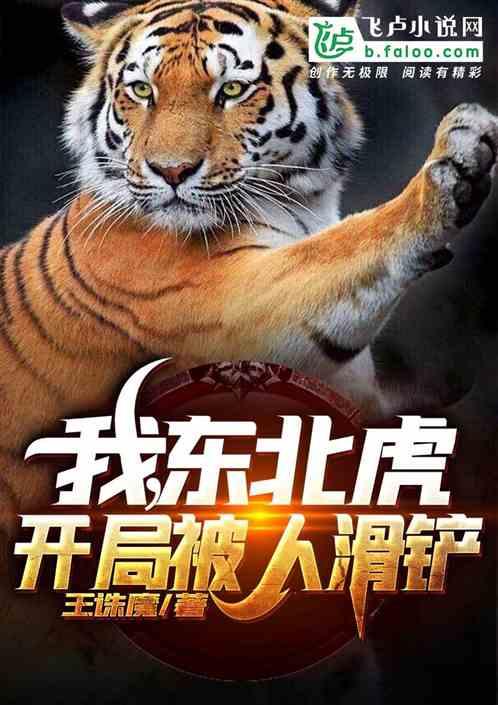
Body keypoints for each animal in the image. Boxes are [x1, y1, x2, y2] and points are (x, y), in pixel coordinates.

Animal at [0, 0, 497, 686]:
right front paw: (457, 158)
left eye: (232, 90)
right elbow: (347, 245)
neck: (302, 206)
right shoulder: (235, 304)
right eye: (142, 91)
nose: (170, 172)